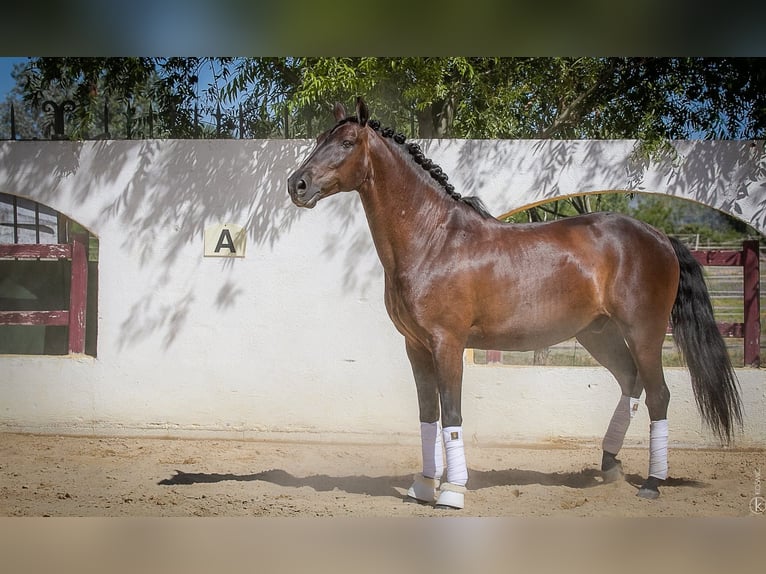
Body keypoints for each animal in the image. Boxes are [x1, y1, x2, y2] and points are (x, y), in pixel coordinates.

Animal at [287, 97, 743, 510]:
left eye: (347, 142)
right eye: (320, 139)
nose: (298, 185)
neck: (433, 239)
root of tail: (660, 237)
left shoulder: (447, 343)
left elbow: (452, 415)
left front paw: (452, 491)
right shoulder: (415, 346)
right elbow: (427, 415)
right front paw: (423, 485)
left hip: (644, 331)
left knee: (658, 395)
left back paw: (651, 483)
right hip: (599, 334)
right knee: (630, 383)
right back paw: (610, 467)